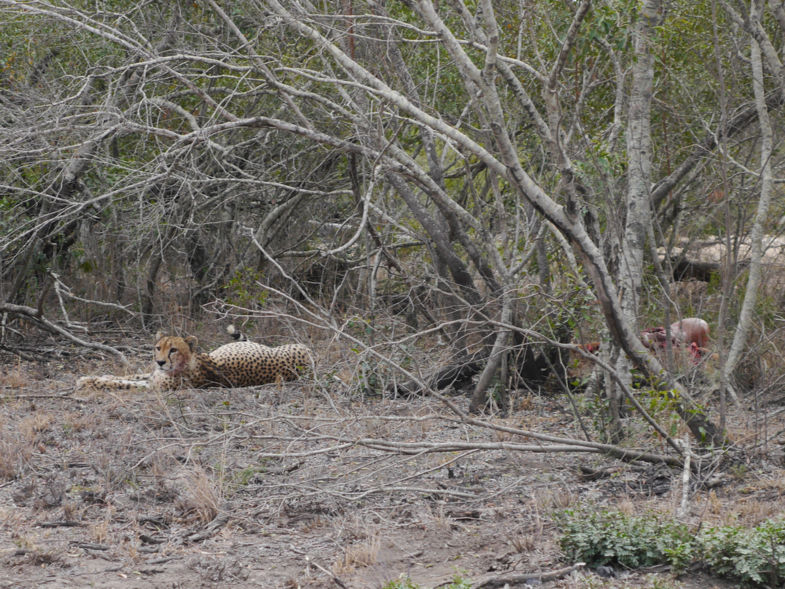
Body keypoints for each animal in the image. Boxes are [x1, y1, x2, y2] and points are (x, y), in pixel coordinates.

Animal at [76, 328, 311, 391]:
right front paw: (101, 375)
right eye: (158, 348)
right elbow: (132, 375)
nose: (160, 361)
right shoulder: (153, 375)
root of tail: (308, 355)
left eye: (173, 350)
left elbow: (122, 383)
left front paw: (90, 381)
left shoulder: (154, 387)